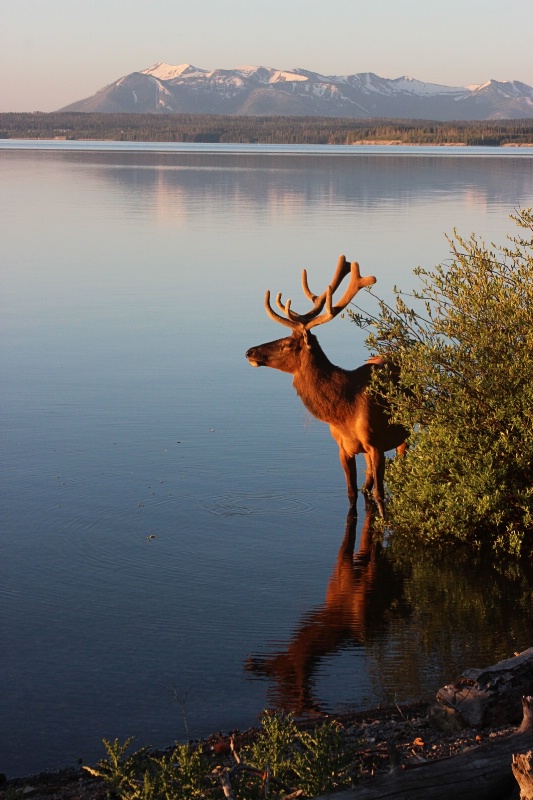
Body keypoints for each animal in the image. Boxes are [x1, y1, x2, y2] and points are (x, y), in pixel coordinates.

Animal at [246, 256, 408, 520]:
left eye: (288, 343)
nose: (250, 351)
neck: (344, 411)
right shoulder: (343, 448)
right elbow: (352, 492)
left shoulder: (376, 444)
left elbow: (380, 495)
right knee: (366, 484)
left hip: (407, 430)